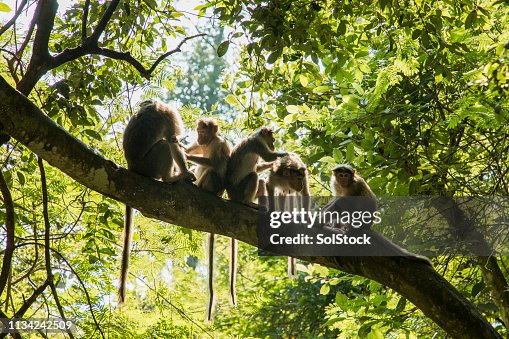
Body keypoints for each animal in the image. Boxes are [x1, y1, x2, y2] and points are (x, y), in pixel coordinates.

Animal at [119, 99, 196, 304]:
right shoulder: (169, 116)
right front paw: (185, 171)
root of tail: (131, 167)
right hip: (149, 166)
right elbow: (172, 140)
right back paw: (171, 178)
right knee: (163, 146)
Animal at [225, 127, 288, 306]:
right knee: (253, 177)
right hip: (240, 191)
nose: (274, 141)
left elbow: (260, 165)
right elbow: (268, 157)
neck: (256, 135)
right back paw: (248, 203)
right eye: (272, 136)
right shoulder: (256, 144)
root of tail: (231, 197)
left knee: (258, 179)